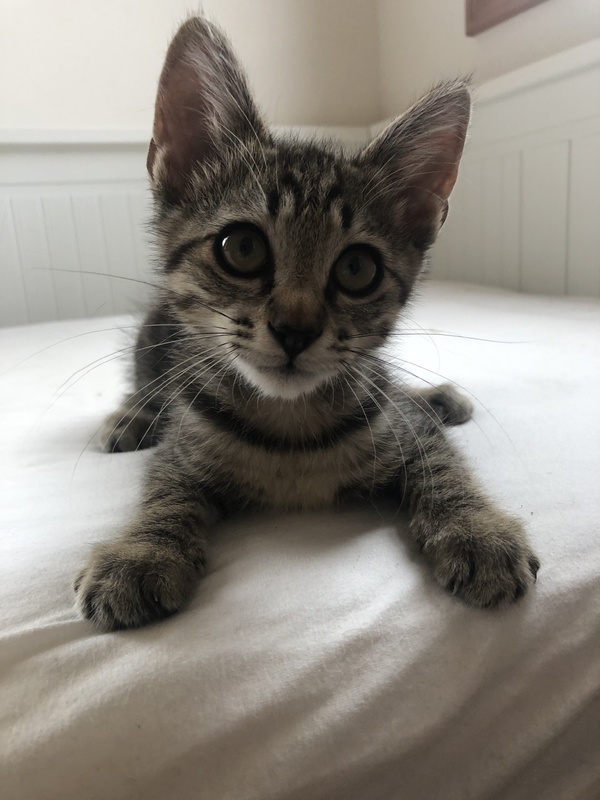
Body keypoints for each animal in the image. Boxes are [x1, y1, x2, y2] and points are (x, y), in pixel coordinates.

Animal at [75, 16, 539, 630]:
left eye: (358, 269)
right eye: (242, 248)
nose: (295, 330)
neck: (289, 428)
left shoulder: (404, 431)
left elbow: (442, 465)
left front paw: (478, 530)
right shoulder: (184, 445)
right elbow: (167, 486)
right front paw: (141, 551)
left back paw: (435, 396)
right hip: (153, 335)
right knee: (149, 386)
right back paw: (132, 418)